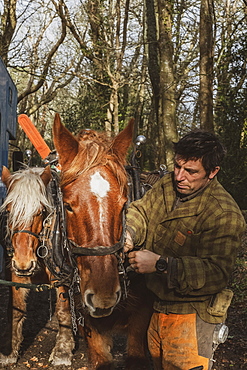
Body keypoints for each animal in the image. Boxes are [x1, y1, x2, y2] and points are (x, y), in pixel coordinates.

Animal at [0, 166, 74, 366]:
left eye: (41, 211)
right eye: (8, 210)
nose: (24, 263)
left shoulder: (61, 273)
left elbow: (63, 310)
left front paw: (63, 351)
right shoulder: (15, 274)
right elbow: (16, 309)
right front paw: (9, 350)